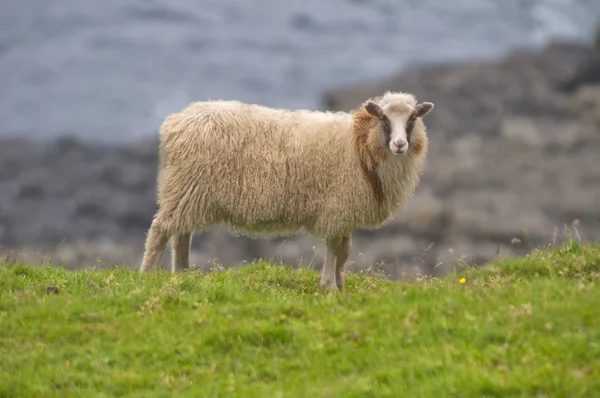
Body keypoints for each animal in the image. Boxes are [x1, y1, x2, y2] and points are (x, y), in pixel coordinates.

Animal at [138, 91, 434, 290]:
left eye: (412, 120)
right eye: (383, 118)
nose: (399, 144)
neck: (361, 143)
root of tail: (175, 122)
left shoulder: (345, 211)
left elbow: (345, 251)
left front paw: (340, 284)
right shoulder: (335, 207)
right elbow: (334, 248)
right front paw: (329, 286)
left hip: (190, 193)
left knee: (181, 235)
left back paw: (182, 274)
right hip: (185, 186)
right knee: (160, 231)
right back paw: (148, 274)